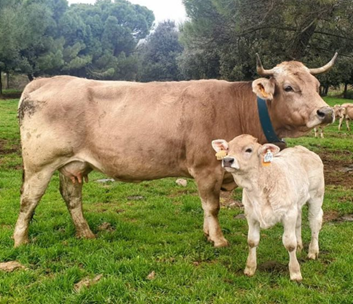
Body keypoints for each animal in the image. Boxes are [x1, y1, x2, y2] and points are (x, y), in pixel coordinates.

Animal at [14, 53, 336, 247]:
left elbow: (206, 207)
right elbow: (213, 206)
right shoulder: (207, 168)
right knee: (29, 200)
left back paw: (86, 233)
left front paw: (207, 233)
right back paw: (20, 241)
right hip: (40, 164)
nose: (326, 112)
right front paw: (218, 239)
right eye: (289, 87)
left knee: (71, 197)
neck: (238, 108)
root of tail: (47, 80)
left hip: (71, 164)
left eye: (316, 83)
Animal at [210, 135, 324, 280]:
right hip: (297, 204)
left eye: (248, 149)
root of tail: (302, 148)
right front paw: (250, 268)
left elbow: (289, 243)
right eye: (228, 149)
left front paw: (295, 272)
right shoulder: (251, 215)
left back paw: (313, 251)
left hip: (316, 196)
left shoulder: (288, 214)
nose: (227, 160)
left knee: (314, 222)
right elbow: (252, 241)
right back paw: (299, 246)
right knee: (298, 223)